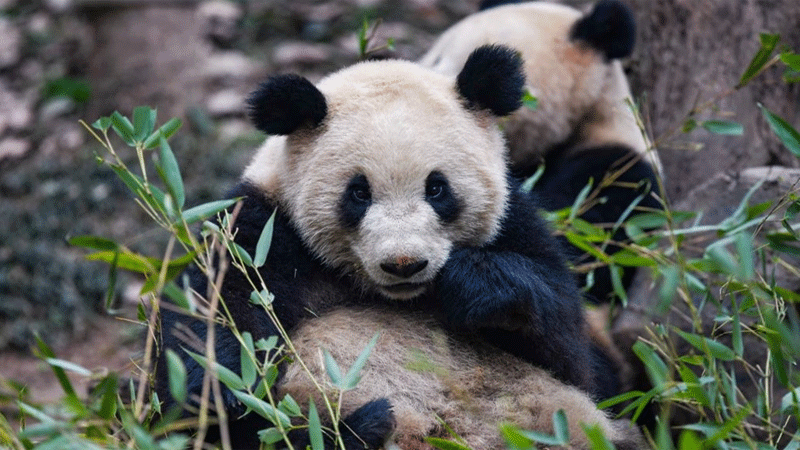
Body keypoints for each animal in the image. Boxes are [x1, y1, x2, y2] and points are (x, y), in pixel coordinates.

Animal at [156, 45, 630, 449]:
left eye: (437, 188)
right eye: (359, 193)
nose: (404, 264)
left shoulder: (515, 222)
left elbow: (575, 354)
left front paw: (473, 284)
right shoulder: (264, 231)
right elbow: (213, 321)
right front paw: (225, 388)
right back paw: (363, 426)